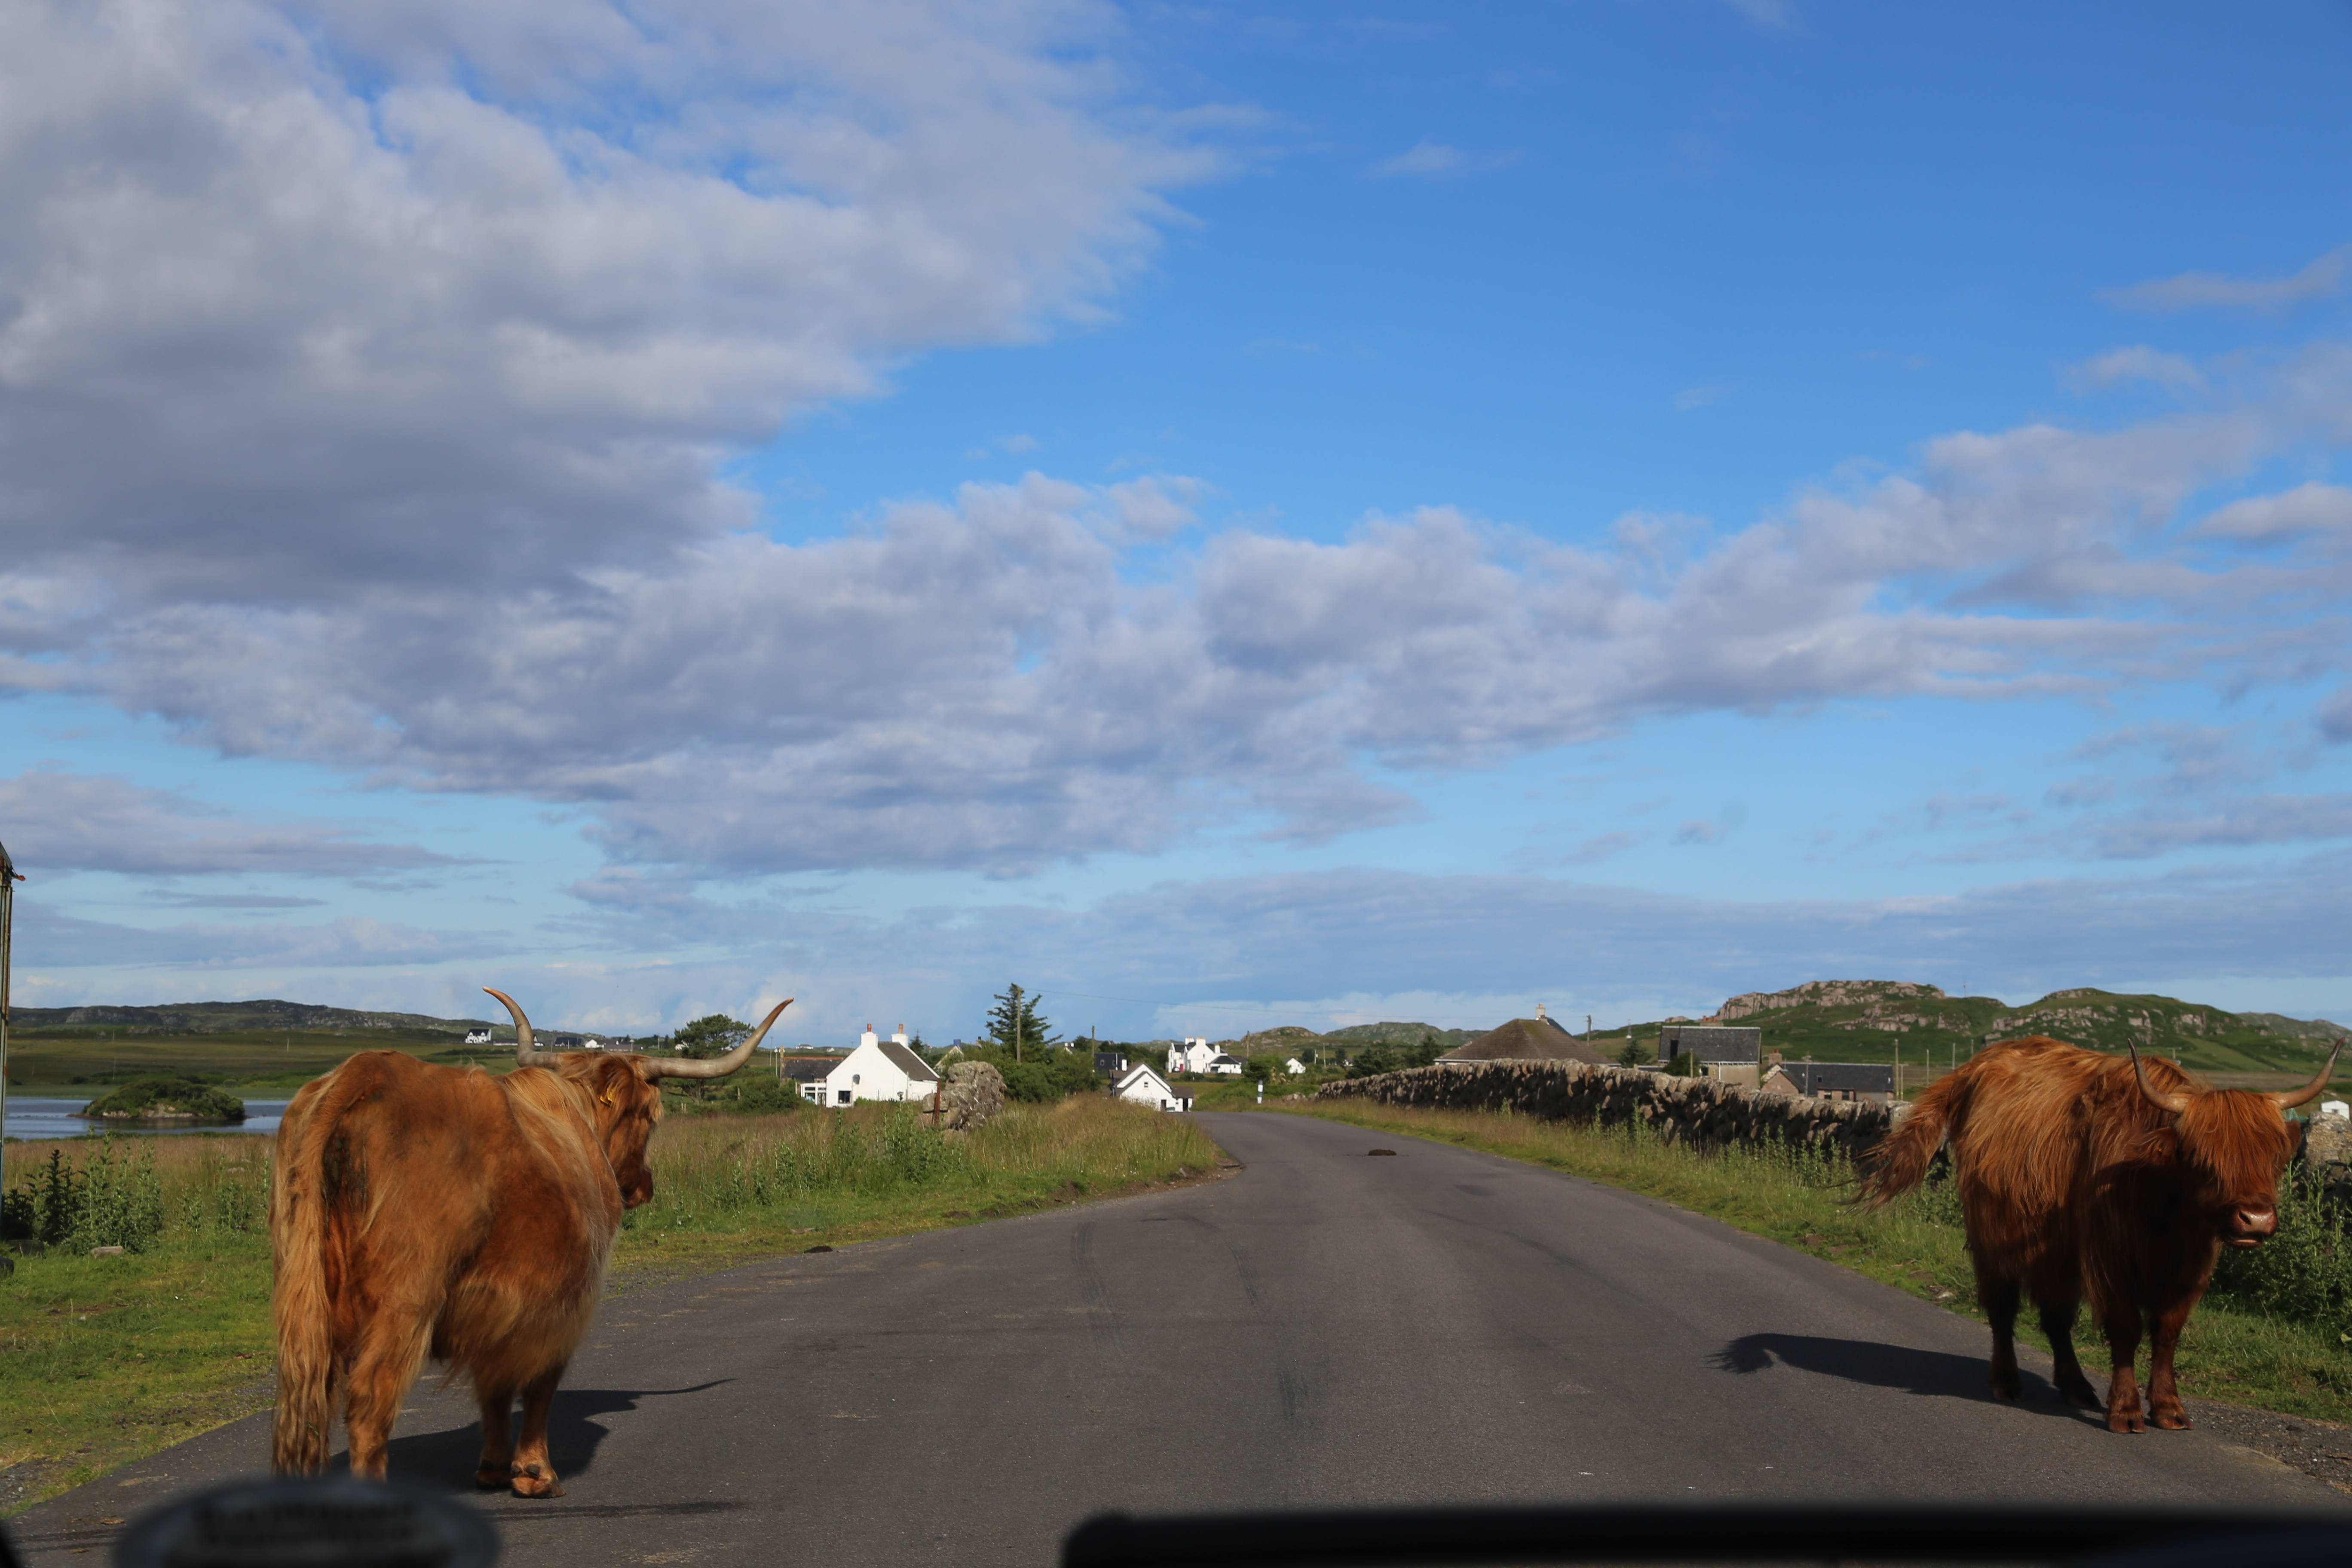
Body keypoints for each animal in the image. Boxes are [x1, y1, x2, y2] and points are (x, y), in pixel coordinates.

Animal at [272, 992, 790, 1495]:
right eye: (650, 1116)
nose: (644, 1187)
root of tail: (363, 1072)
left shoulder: (500, 1309)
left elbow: (496, 1389)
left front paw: (495, 1468)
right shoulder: (562, 1305)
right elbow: (539, 1387)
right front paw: (536, 1473)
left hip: (307, 1301)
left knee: (312, 1400)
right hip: (405, 1299)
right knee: (369, 1406)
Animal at [1862, 1034, 2343, 1429]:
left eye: (2272, 1158)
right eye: (2201, 1159)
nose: (2255, 1219)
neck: (2165, 1207)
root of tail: (1980, 1064)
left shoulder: (2191, 1268)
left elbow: (2167, 1332)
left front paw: (2168, 1408)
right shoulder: (2111, 1258)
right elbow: (2126, 1328)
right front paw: (2126, 1410)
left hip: (2055, 1251)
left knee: (2056, 1318)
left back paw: (2076, 1386)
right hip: (1993, 1236)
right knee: (2003, 1309)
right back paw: (2007, 1382)